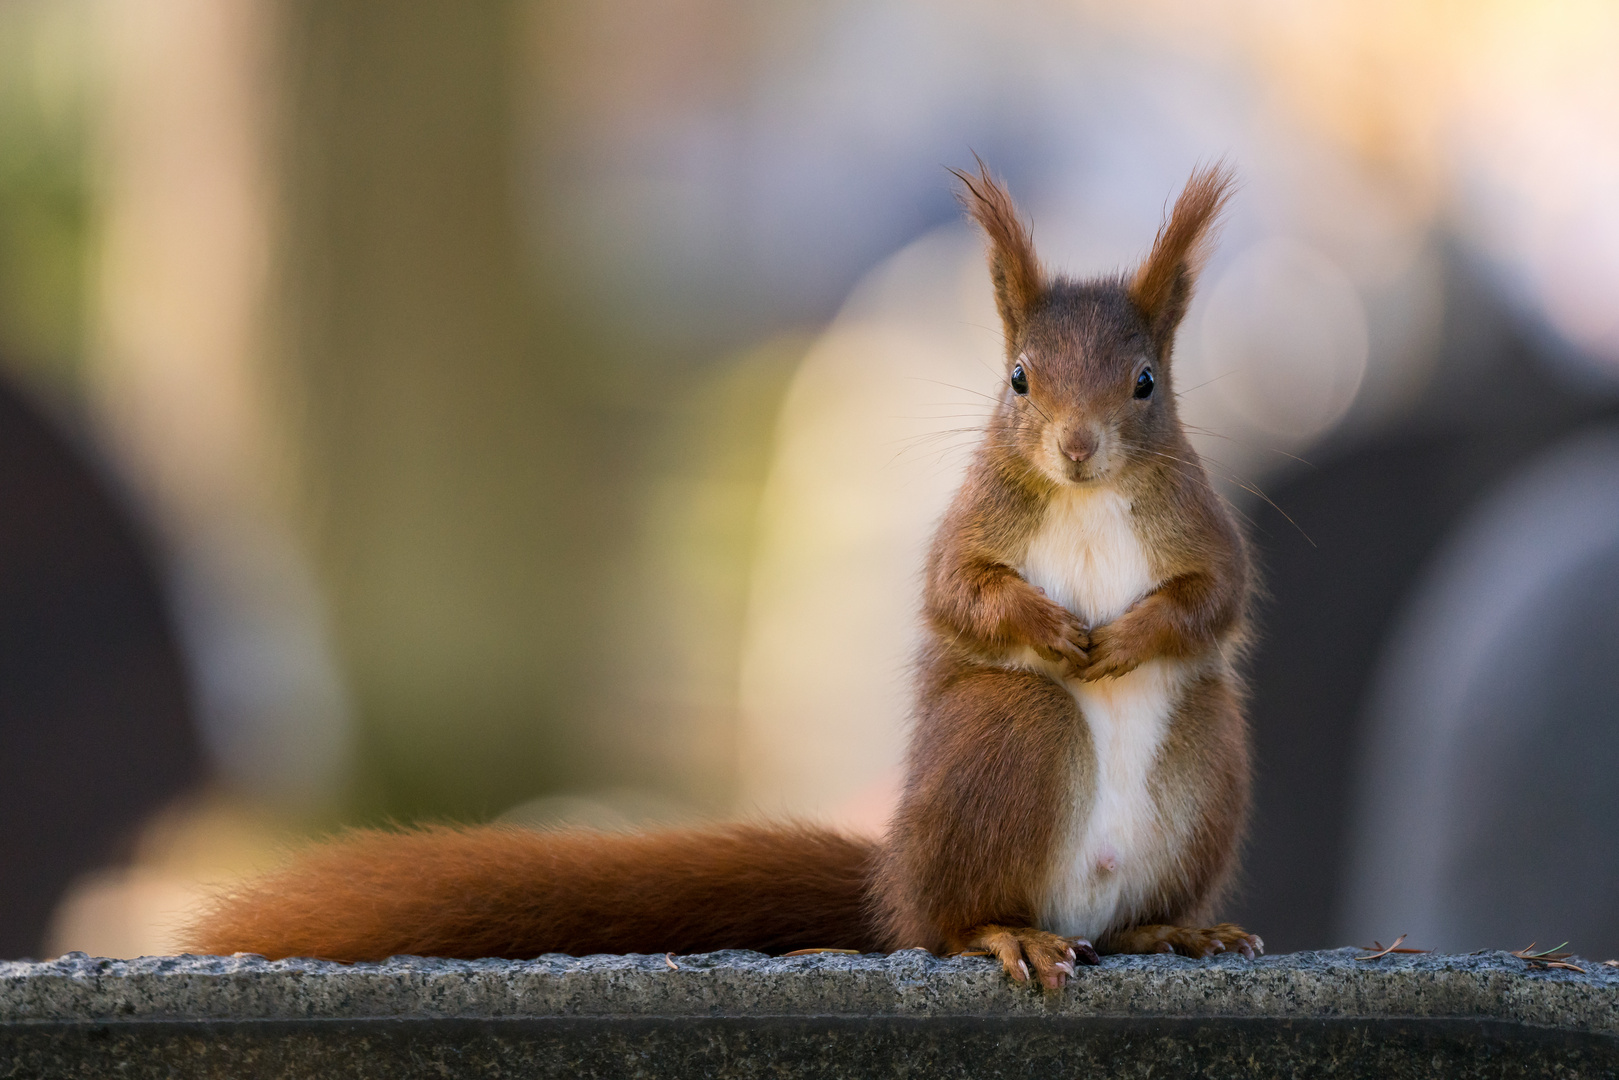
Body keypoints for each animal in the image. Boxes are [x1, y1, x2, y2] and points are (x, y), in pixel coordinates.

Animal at [183, 162, 1256, 990]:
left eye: (1145, 383)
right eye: (1020, 379)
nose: (1076, 449)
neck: (1083, 500)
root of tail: (892, 881)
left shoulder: (1200, 528)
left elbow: (1213, 598)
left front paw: (1127, 636)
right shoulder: (973, 524)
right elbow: (958, 593)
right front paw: (1046, 626)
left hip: (1204, 756)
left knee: (1124, 905)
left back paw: (1171, 928)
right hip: (1008, 740)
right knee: (946, 923)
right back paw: (1003, 933)